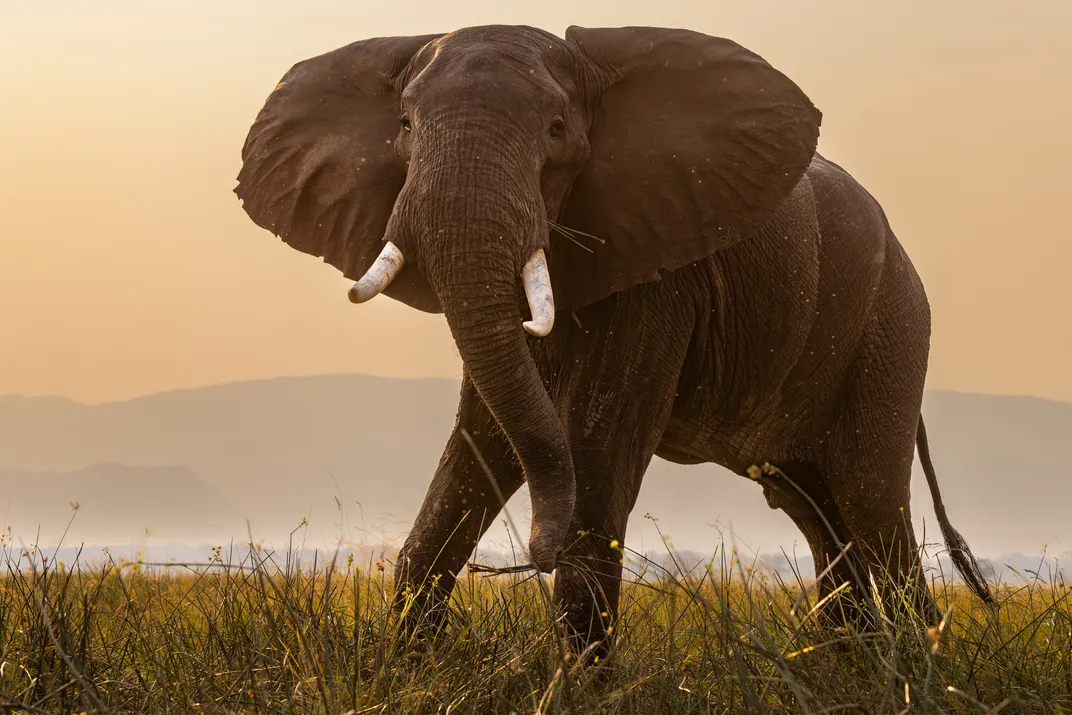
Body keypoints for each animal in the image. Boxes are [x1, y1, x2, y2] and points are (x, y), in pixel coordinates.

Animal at [233, 24, 993, 657]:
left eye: (557, 129)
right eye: (403, 125)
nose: (526, 560)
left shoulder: (660, 277)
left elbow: (596, 450)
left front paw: (572, 689)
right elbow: (480, 444)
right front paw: (404, 671)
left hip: (892, 326)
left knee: (871, 504)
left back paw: (914, 667)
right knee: (822, 521)